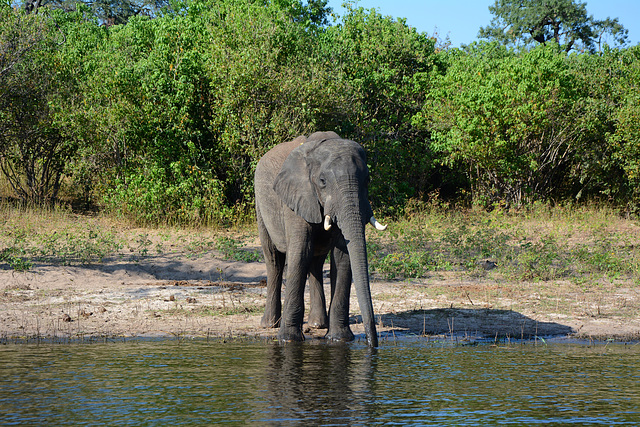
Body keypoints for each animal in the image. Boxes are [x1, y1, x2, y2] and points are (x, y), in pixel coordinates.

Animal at [254, 131, 384, 348]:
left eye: (368, 180)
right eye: (322, 181)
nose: (371, 344)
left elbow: (342, 256)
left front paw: (339, 339)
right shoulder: (297, 198)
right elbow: (300, 252)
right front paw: (288, 340)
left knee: (315, 263)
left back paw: (317, 325)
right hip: (260, 204)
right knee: (274, 260)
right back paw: (269, 324)